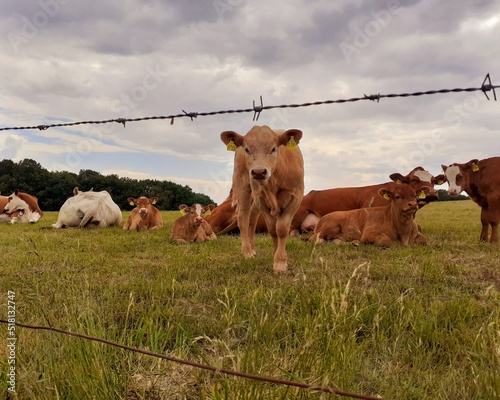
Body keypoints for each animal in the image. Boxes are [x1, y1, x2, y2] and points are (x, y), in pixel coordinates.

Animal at [222, 125, 304, 276]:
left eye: (273, 148)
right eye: (247, 149)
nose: (259, 172)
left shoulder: (296, 197)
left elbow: (281, 228)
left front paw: (279, 260)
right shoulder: (261, 199)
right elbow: (273, 229)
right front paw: (279, 259)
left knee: (252, 219)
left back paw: (253, 249)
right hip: (242, 185)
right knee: (243, 217)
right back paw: (247, 251)